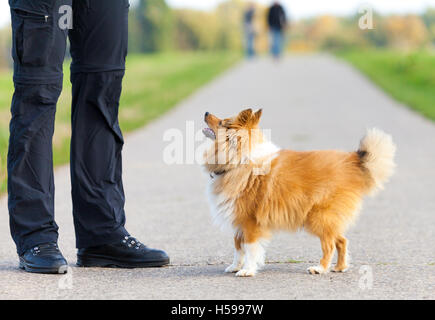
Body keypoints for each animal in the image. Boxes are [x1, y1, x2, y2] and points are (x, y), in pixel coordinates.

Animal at [203, 109, 396, 276]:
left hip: (318, 217)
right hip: (326, 219)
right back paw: (339, 267)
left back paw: (320, 268)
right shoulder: (239, 219)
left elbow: (250, 248)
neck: (238, 159)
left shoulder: (250, 221)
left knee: (330, 245)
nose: (206, 113)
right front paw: (235, 267)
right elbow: (238, 246)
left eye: (222, 122)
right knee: (341, 240)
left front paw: (247, 271)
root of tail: (353, 161)